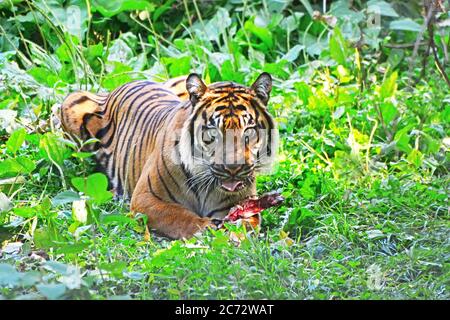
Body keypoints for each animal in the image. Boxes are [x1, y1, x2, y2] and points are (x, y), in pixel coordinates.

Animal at [59, 72, 278, 238]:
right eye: (213, 131)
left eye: (248, 130)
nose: (233, 168)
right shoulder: (145, 199)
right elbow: (179, 216)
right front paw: (206, 228)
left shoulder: (242, 202)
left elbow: (247, 221)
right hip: (70, 104)